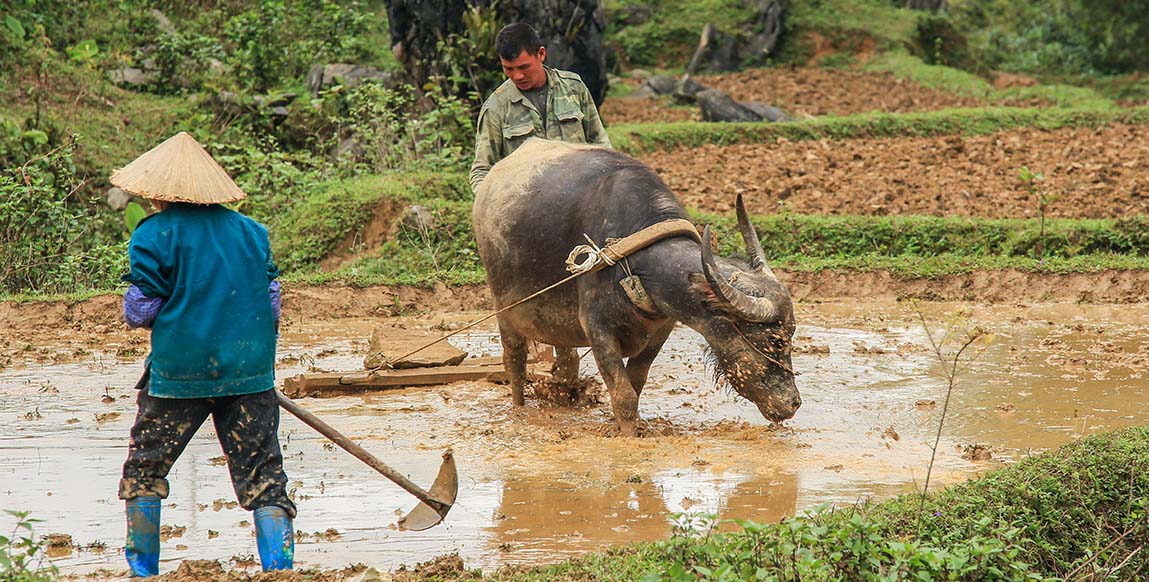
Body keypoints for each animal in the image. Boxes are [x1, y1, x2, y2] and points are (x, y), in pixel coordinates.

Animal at [468, 138, 799, 436]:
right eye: (776, 340)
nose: (793, 403)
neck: (639, 267)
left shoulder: (661, 329)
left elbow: (635, 383)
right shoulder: (597, 328)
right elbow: (623, 395)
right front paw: (628, 434)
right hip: (504, 312)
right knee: (514, 362)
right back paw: (518, 407)